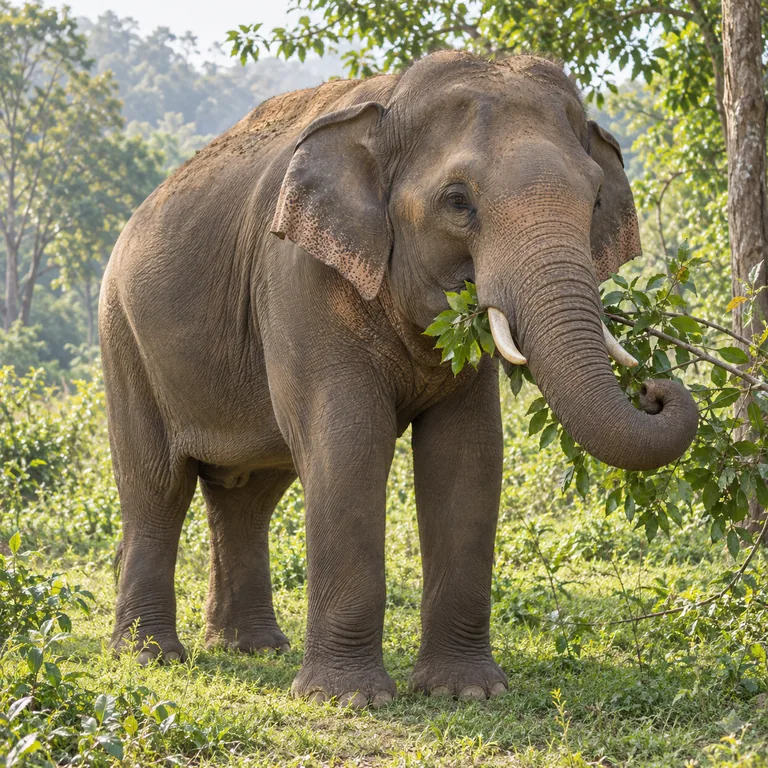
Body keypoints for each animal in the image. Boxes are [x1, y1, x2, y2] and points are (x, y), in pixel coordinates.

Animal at [99, 50, 698, 708]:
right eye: (458, 201)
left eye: (593, 201)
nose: (654, 391)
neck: (389, 106)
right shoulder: (298, 275)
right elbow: (348, 441)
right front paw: (348, 700)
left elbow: (468, 453)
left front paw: (467, 693)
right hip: (123, 338)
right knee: (157, 485)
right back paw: (151, 657)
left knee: (248, 493)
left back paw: (251, 648)